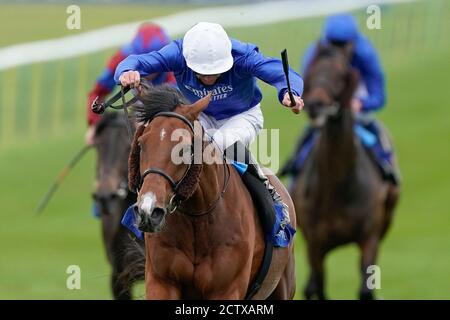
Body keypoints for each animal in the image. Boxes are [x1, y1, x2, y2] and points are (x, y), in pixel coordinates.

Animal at [125, 85, 296, 300]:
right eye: (141, 143)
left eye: (184, 149)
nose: (148, 211)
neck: (198, 220)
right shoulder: (161, 281)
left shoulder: (226, 290)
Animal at [292, 43, 400, 300]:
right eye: (312, 69)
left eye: (341, 74)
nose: (316, 105)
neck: (337, 184)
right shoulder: (315, 245)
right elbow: (319, 288)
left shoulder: (369, 238)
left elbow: (365, 289)